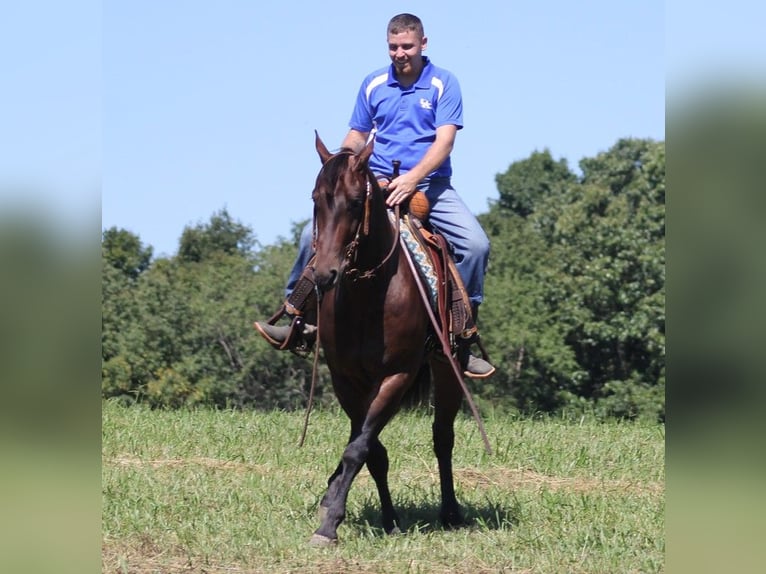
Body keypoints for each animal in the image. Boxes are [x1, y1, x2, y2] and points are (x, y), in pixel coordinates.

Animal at [306, 133, 474, 548]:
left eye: (354, 202)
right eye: (315, 199)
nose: (324, 274)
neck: (369, 294)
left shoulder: (396, 376)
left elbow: (359, 449)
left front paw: (329, 525)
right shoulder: (346, 379)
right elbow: (369, 450)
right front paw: (381, 517)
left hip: (447, 368)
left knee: (442, 437)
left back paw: (450, 513)